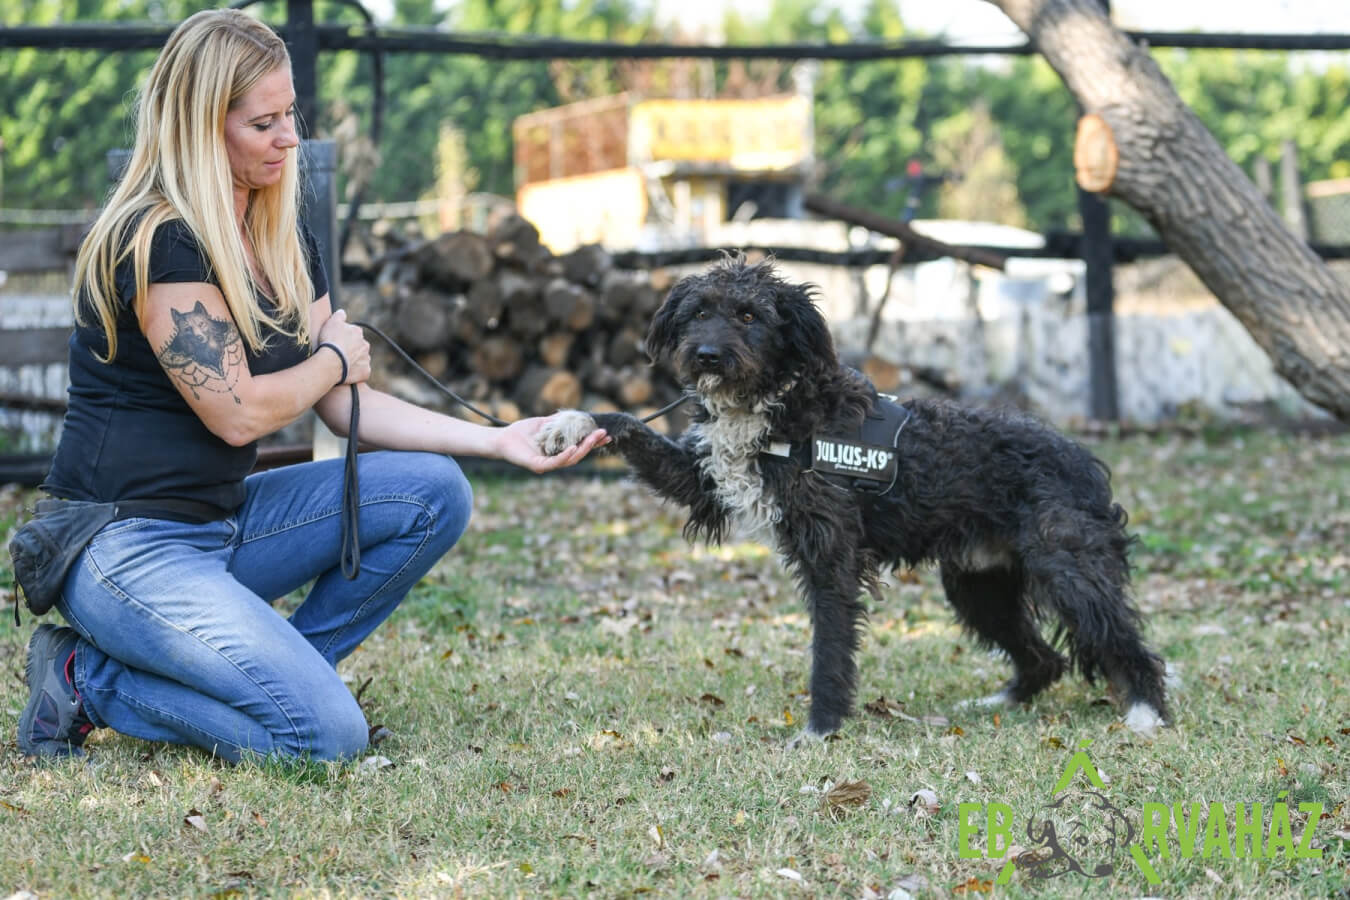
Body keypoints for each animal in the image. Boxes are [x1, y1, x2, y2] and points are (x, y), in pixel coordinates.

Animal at [539, 256, 1168, 742]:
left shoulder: (832, 557)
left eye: (750, 315)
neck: (776, 407)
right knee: (1045, 658)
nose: (708, 355)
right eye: (700, 312)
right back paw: (1002, 703)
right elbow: (625, 422)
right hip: (977, 586)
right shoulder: (703, 478)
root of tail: (1081, 458)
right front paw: (572, 423)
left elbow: (831, 648)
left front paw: (820, 728)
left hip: (1069, 572)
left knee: (1123, 641)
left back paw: (1146, 712)